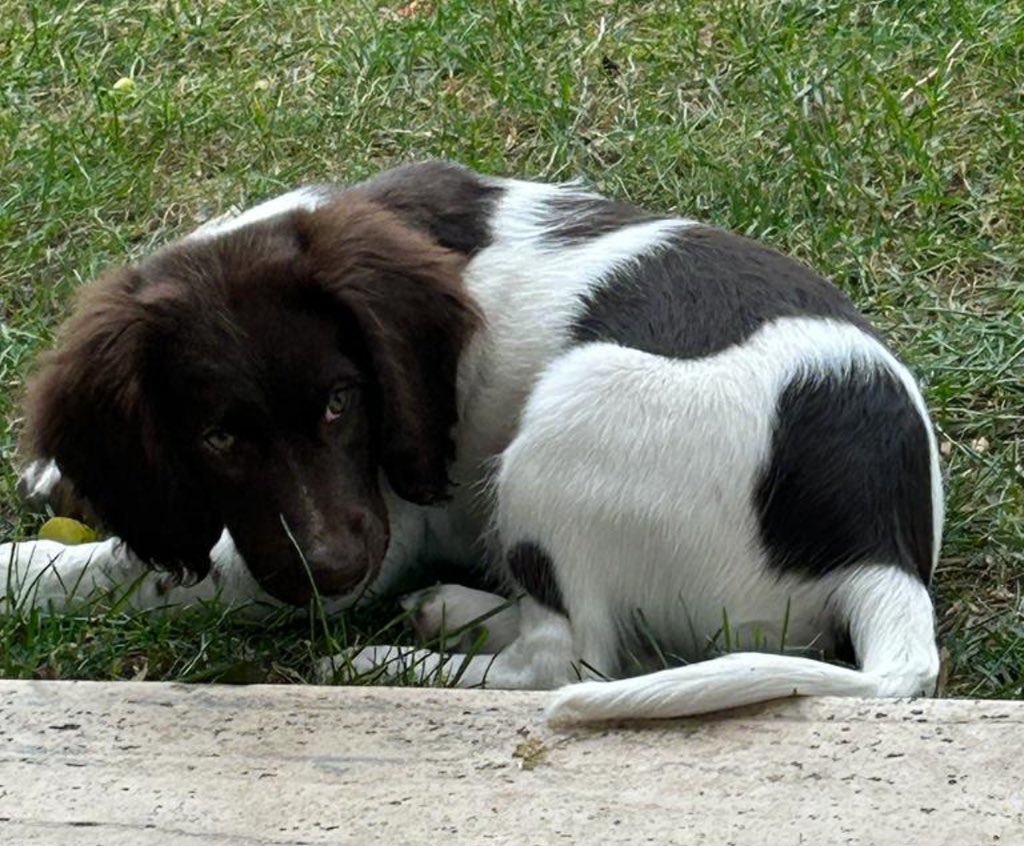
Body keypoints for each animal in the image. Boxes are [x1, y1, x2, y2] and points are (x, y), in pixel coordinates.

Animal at [6, 161, 942, 721]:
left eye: (342, 402)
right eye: (218, 436)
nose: (336, 575)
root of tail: (880, 554)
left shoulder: (363, 532)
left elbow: (116, 570)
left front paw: (26, 568)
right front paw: (55, 475)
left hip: (570, 420)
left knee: (567, 662)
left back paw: (389, 664)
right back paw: (450, 611)